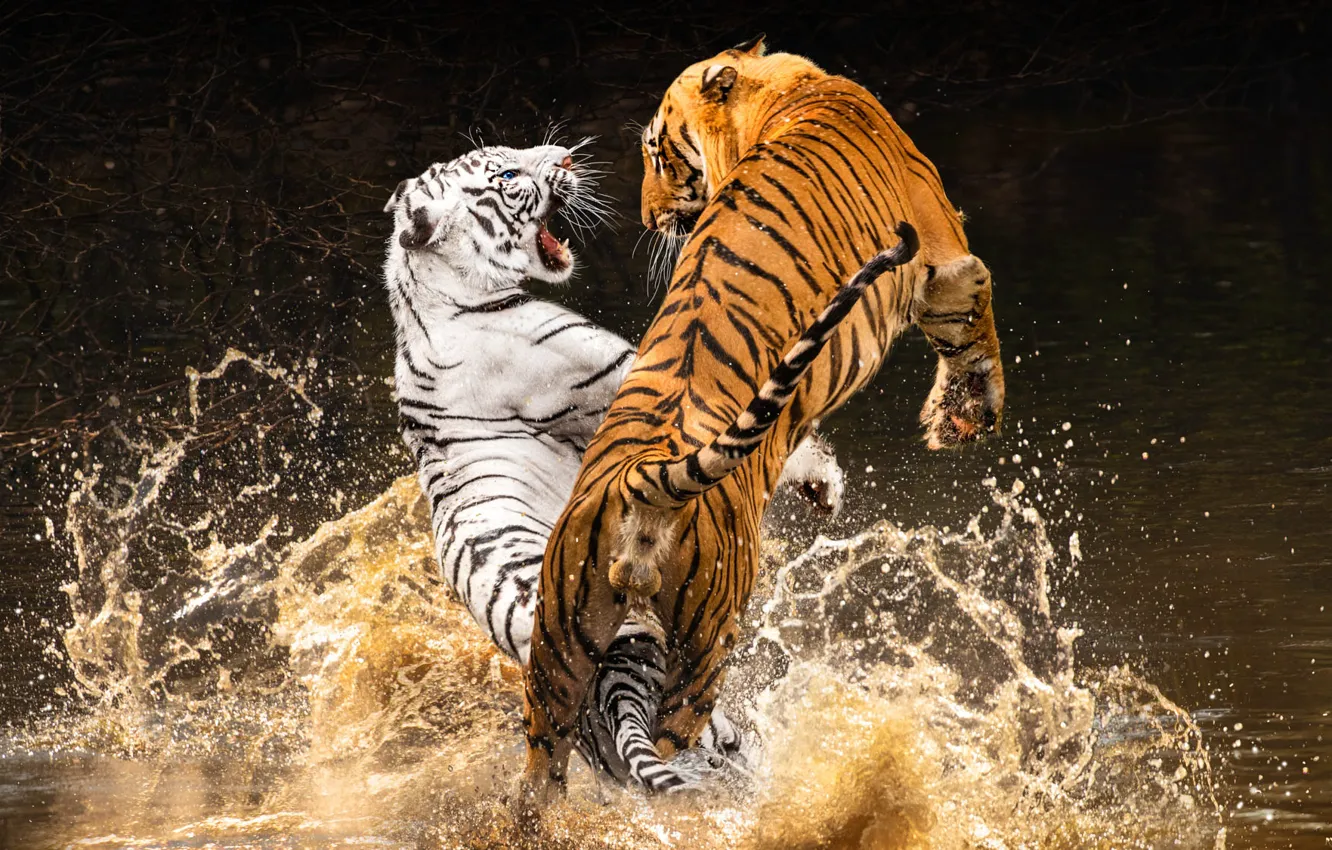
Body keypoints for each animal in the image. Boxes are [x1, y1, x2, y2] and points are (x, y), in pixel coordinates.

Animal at [380, 141, 846, 792]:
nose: (565, 158)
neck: (431, 301)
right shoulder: (619, 375)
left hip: (589, 734)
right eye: (507, 173)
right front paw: (822, 478)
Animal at [518, 35, 1005, 805]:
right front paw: (963, 417)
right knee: (666, 755)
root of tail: (641, 481)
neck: (782, 89)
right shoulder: (947, 263)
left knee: (541, 778)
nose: (649, 219)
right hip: (701, 654)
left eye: (656, 152)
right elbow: (975, 328)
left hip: (555, 662)